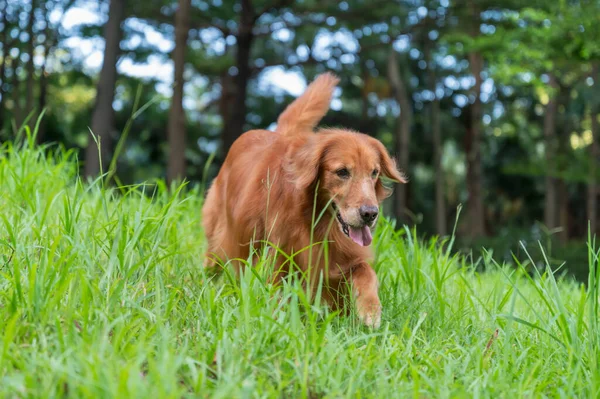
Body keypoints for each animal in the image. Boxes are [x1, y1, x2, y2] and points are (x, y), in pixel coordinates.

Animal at [204, 72, 406, 328]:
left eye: (374, 172)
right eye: (342, 172)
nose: (370, 214)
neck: (316, 220)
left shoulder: (342, 258)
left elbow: (366, 272)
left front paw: (370, 310)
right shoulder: (278, 259)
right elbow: (277, 295)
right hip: (221, 239)